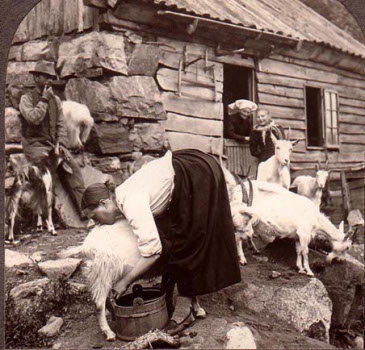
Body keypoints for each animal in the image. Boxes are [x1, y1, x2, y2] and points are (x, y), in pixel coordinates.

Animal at [61, 220, 206, 340]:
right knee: (99, 304)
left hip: (96, 275)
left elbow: (168, 287)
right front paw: (198, 310)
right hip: (105, 273)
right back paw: (109, 333)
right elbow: (190, 290)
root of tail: (86, 247)